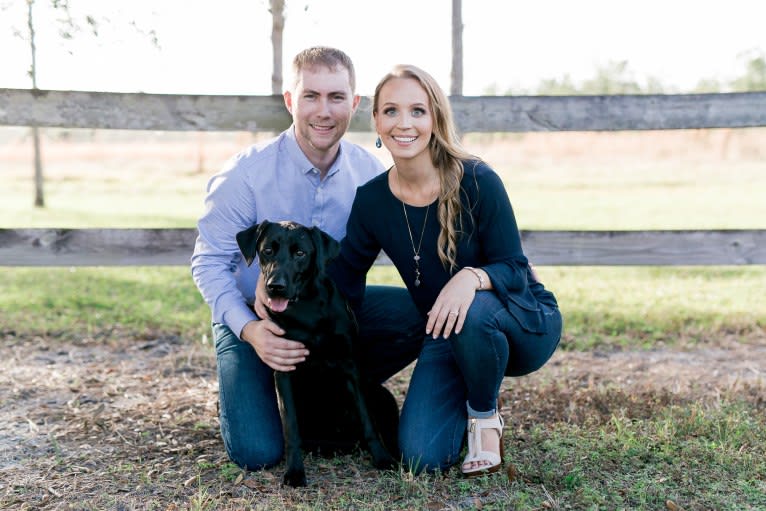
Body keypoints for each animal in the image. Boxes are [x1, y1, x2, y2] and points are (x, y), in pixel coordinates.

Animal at [237, 220, 400, 488]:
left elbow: (368, 420)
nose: (275, 287)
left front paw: (382, 459)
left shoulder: (349, 366)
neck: (307, 309)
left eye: (300, 253)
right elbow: (291, 427)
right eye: (268, 251)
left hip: (381, 394)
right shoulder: (284, 370)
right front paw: (294, 471)